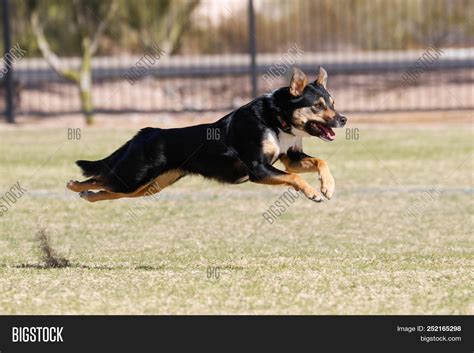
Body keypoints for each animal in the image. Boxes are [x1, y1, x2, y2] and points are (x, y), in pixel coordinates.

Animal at [67, 67, 344, 202]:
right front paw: (313, 193)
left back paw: (87, 196)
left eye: (332, 103)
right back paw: (74, 185)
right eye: (318, 106)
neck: (275, 118)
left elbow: (321, 162)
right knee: (100, 178)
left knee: (109, 190)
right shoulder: (258, 169)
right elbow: (294, 178)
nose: (343, 119)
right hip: (135, 176)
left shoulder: (290, 159)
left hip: (148, 186)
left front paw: (328, 187)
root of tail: (144, 133)